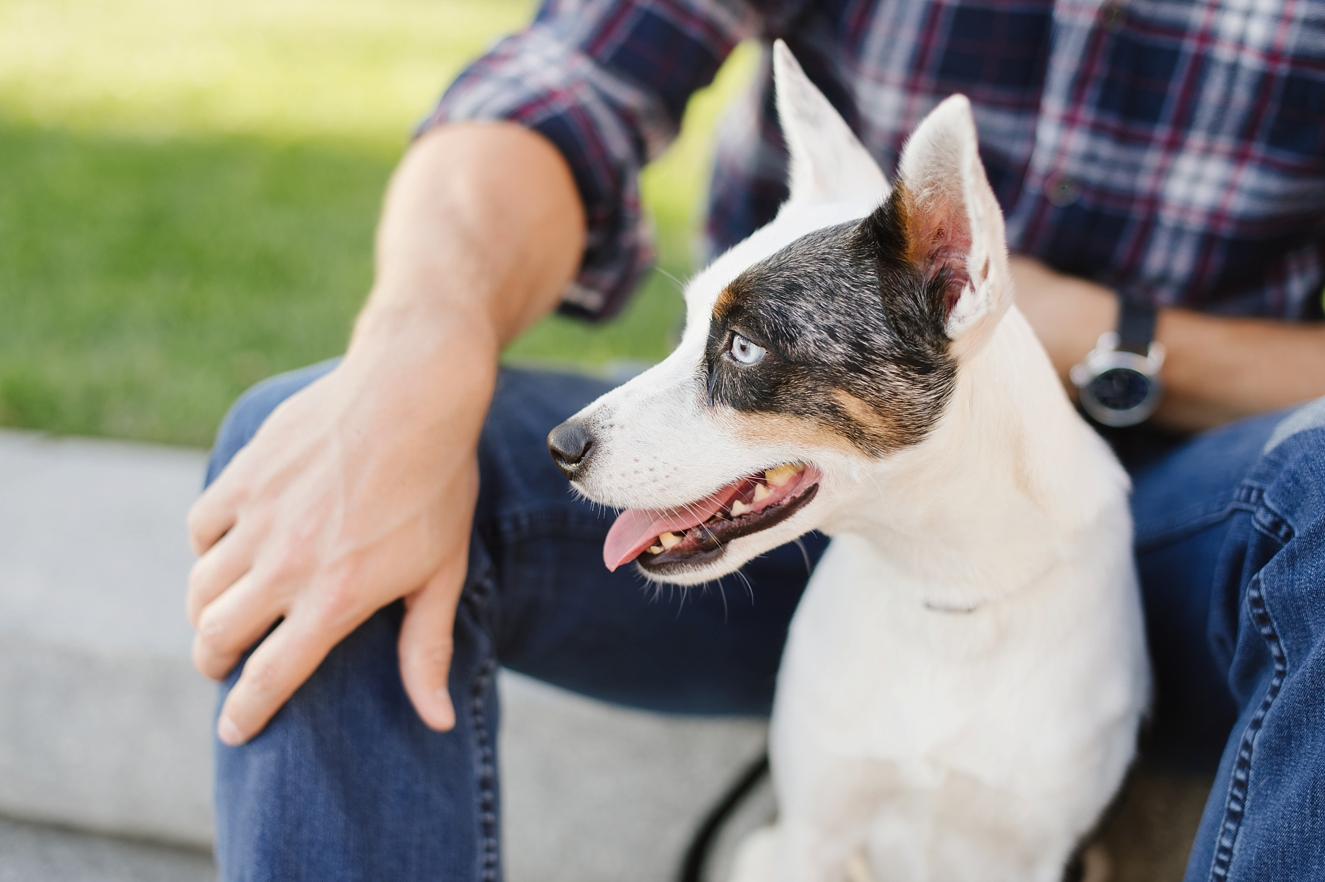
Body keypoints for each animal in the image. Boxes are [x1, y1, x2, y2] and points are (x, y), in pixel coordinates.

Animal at [548, 44, 1150, 879]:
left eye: (743, 347)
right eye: (687, 325)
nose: (561, 447)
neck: (942, 587)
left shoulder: (1038, 852)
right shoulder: (809, 832)